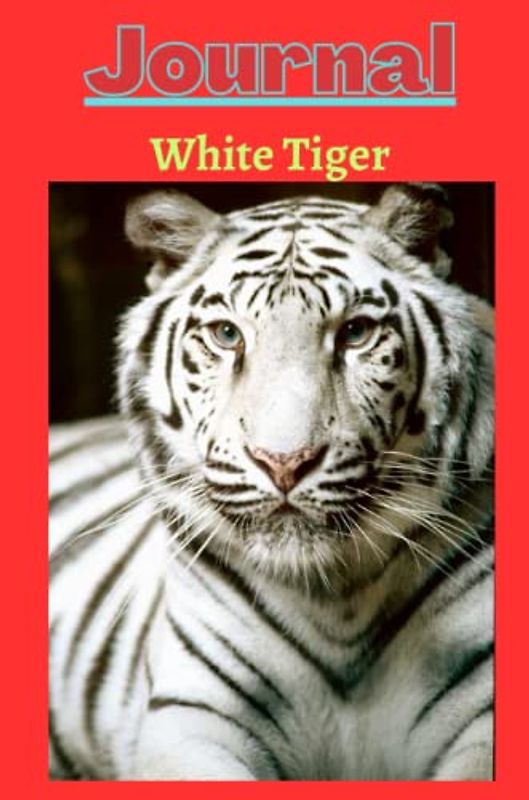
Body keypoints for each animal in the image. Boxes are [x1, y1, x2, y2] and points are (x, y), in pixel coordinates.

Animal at [49, 184, 494, 781]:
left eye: (355, 332)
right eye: (226, 335)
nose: (284, 462)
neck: (336, 604)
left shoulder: (484, 710)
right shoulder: (192, 717)